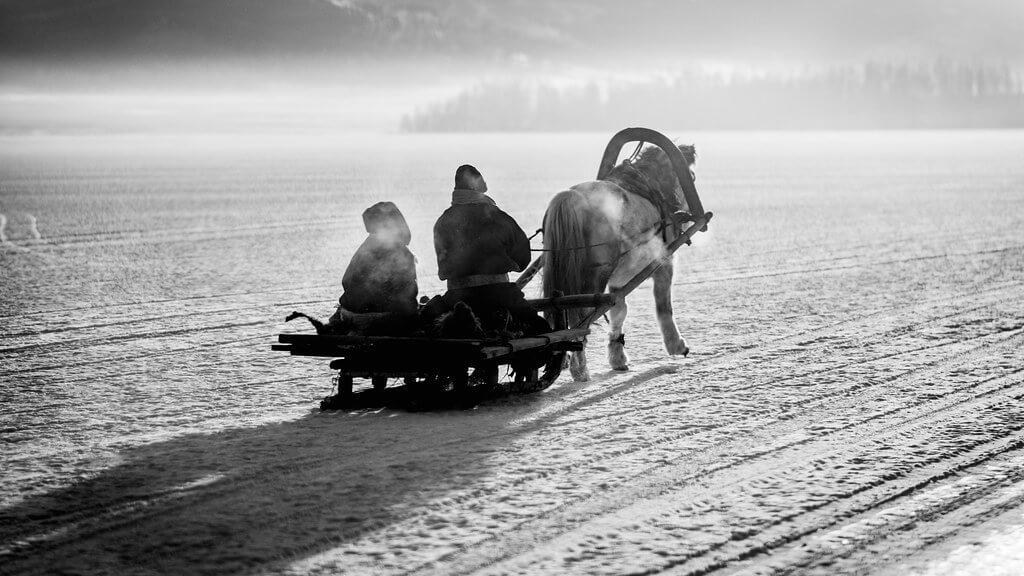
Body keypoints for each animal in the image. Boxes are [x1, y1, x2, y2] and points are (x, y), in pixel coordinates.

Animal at [541, 143, 697, 381]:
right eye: (691, 175)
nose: (685, 211)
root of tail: (571, 197)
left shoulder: (618, 283)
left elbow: (619, 311)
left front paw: (617, 357)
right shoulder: (663, 263)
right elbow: (664, 307)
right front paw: (677, 345)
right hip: (595, 276)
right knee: (582, 318)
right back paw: (580, 369)